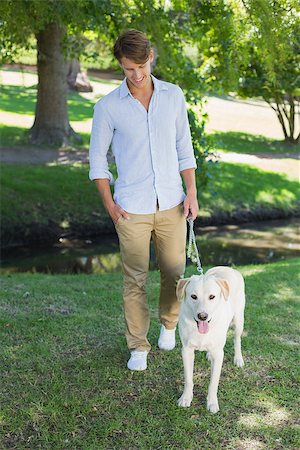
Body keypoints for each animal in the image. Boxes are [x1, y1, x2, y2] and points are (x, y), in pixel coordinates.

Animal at [177, 266, 245, 414]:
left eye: (212, 297)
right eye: (193, 296)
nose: (202, 316)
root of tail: (228, 268)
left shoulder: (219, 354)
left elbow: (213, 382)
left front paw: (212, 402)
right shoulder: (186, 351)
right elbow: (188, 379)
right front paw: (186, 398)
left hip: (239, 321)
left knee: (237, 340)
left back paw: (238, 359)